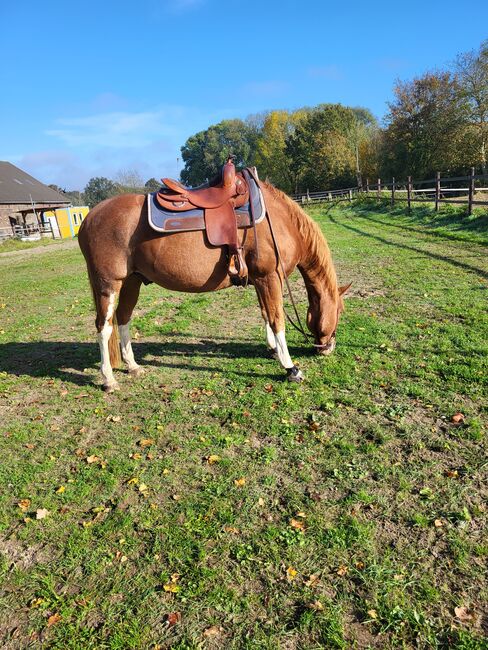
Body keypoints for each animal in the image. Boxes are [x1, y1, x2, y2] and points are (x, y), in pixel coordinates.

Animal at [78, 178, 348, 390]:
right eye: (339, 312)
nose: (328, 347)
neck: (280, 221)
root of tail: (89, 218)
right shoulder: (270, 277)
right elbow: (277, 319)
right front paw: (290, 367)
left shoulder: (261, 280)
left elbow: (265, 314)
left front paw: (272, 349)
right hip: (108, 284)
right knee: (104, 327)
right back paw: (109, 379)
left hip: (131, 282)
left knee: (123, 319)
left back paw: (133, 366)